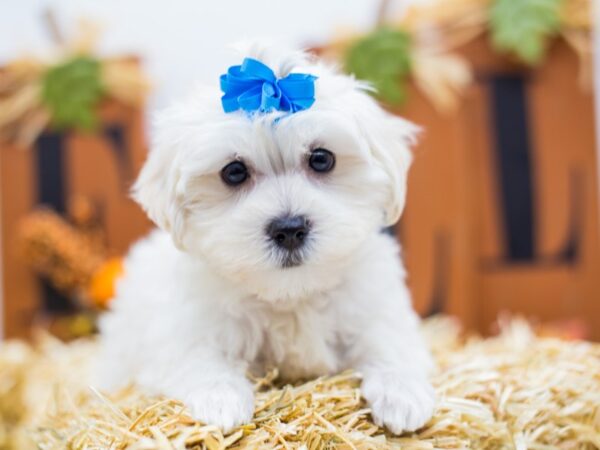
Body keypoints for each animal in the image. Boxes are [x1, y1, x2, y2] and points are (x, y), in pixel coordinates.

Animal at [98, 44, 436, 434]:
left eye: (322, 159)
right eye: (234, 172)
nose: (289, 228)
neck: (290, 294)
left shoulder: (372, 304)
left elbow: (390, 340)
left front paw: (402, 394)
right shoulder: (183, 328)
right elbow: (196, 355)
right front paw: (220, 399)